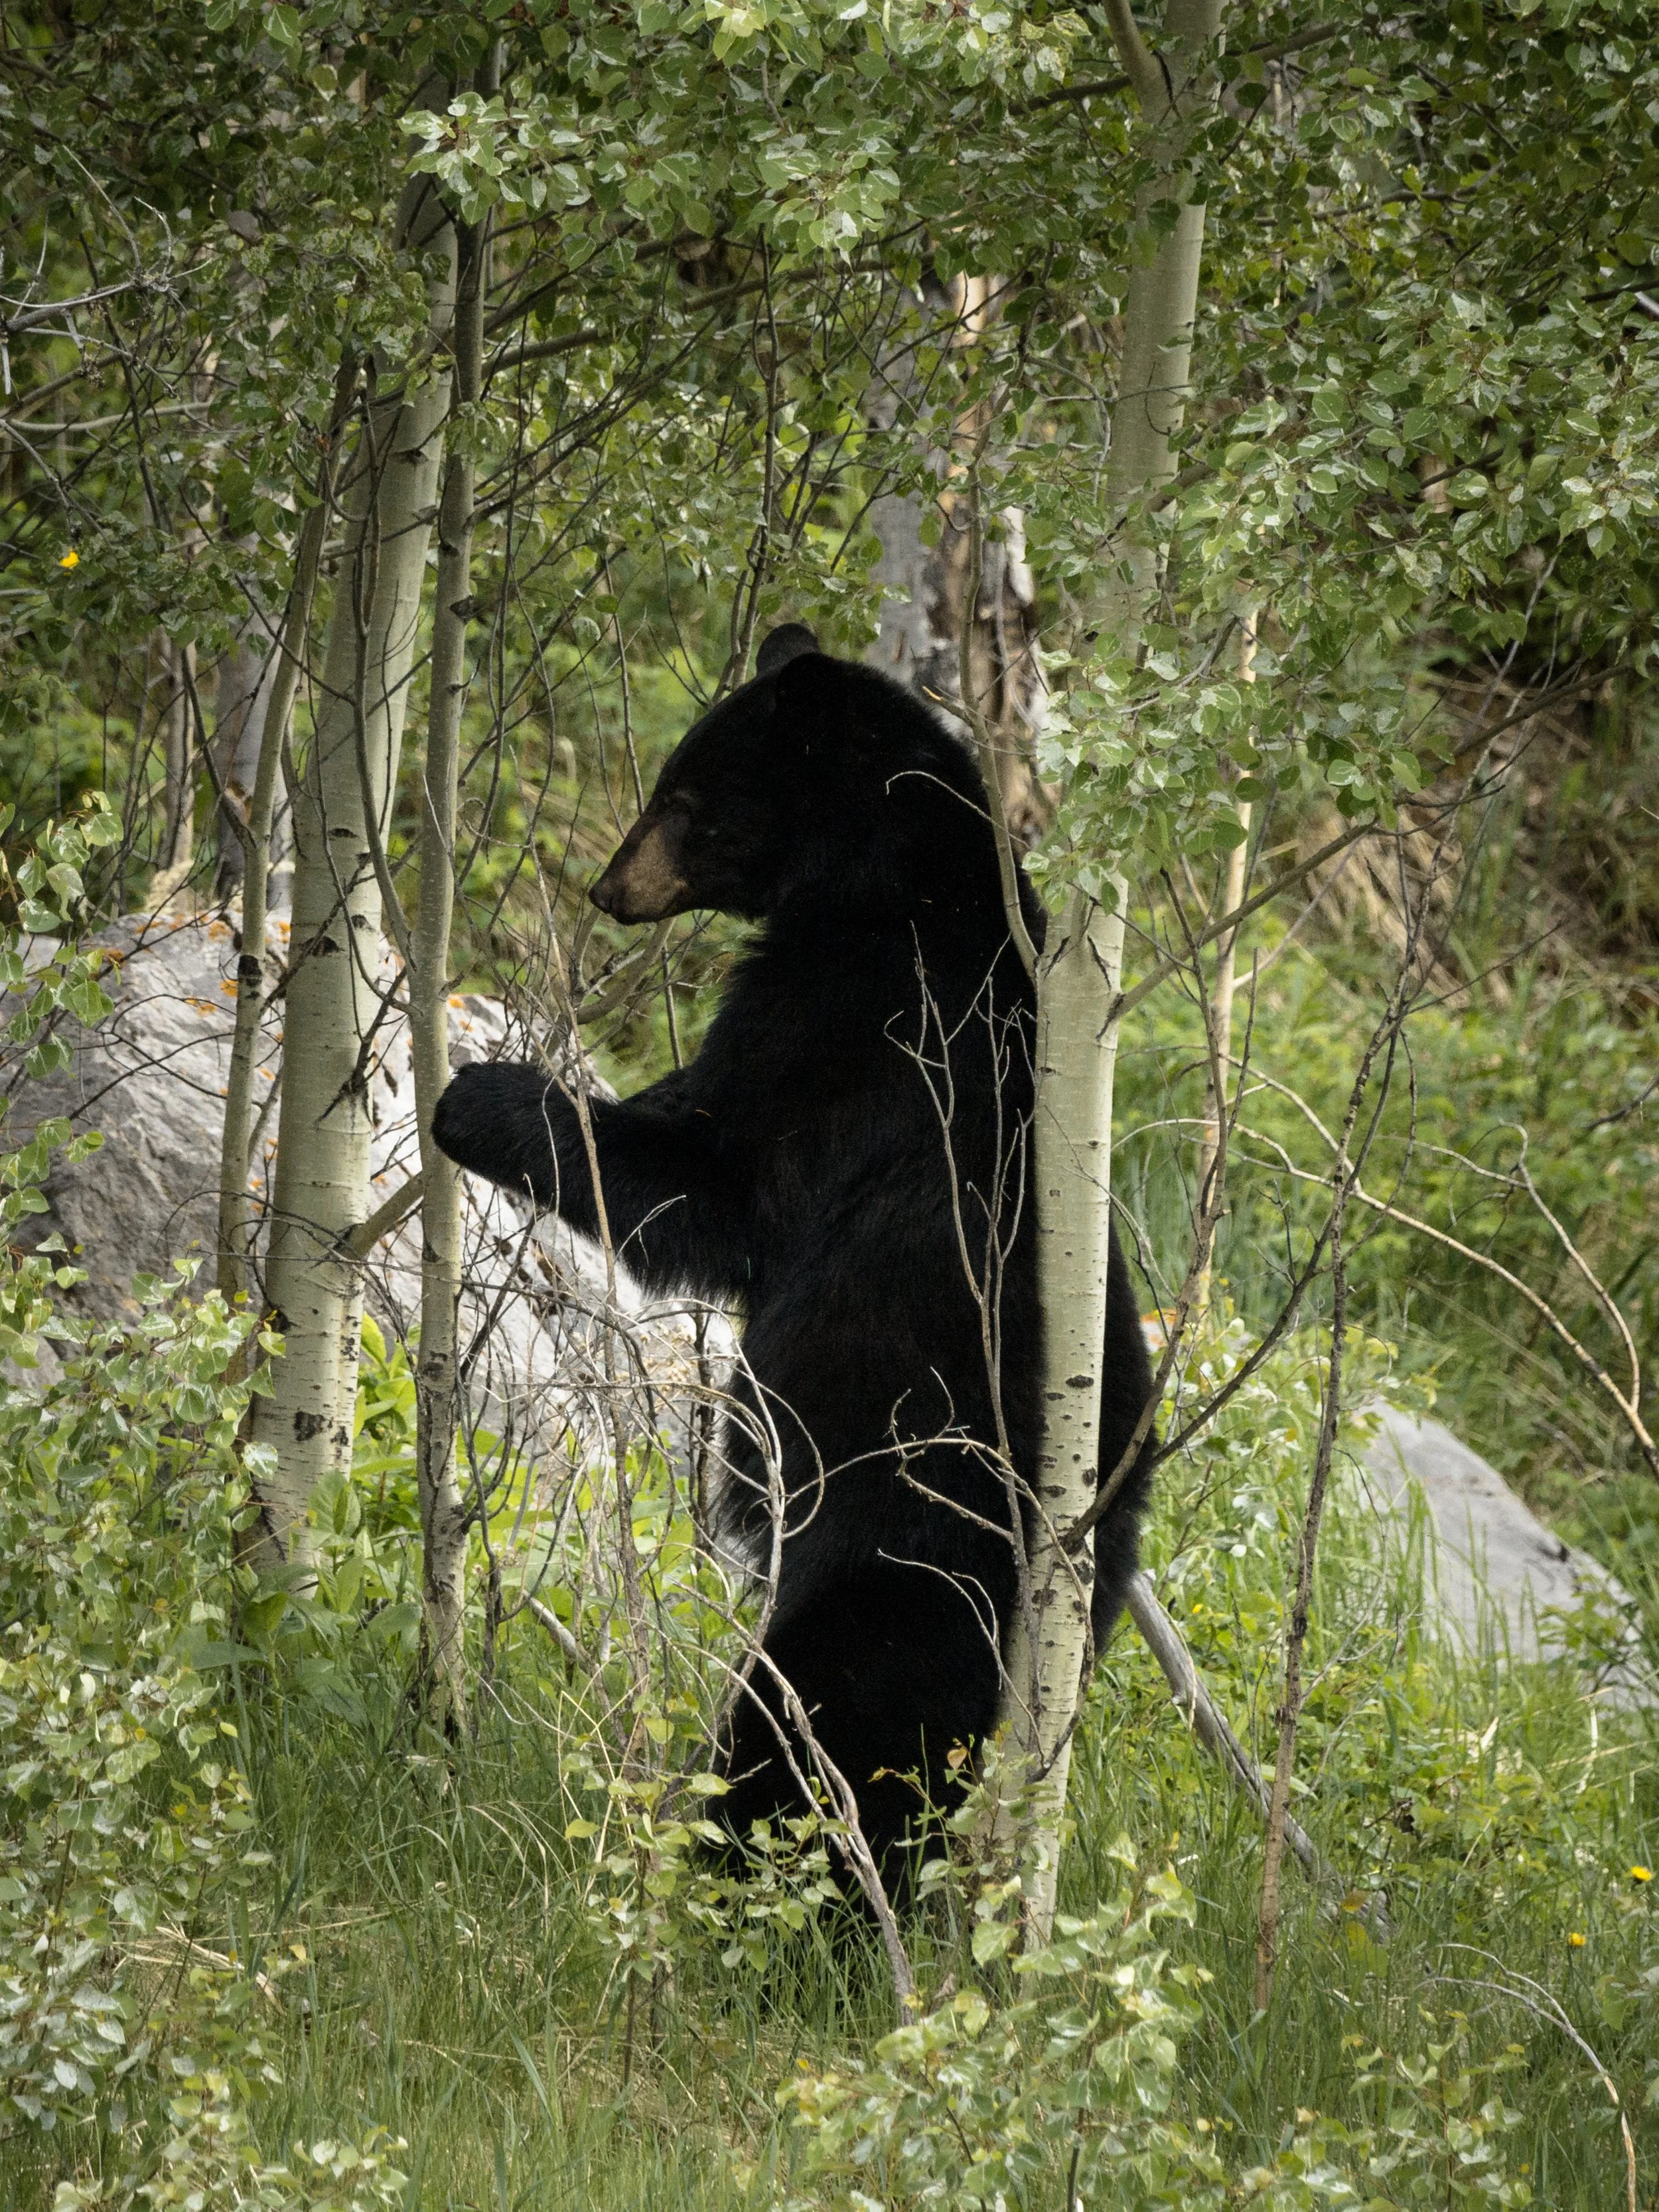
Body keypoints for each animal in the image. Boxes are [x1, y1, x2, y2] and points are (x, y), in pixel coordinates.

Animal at [432, 624, 1156, 1884]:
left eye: (685, 796)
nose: (607, 887)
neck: (898, 884)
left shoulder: (853, 1033)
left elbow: (715, 1181)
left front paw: (481, 1095)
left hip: (903, 1552)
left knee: (826, 1725)